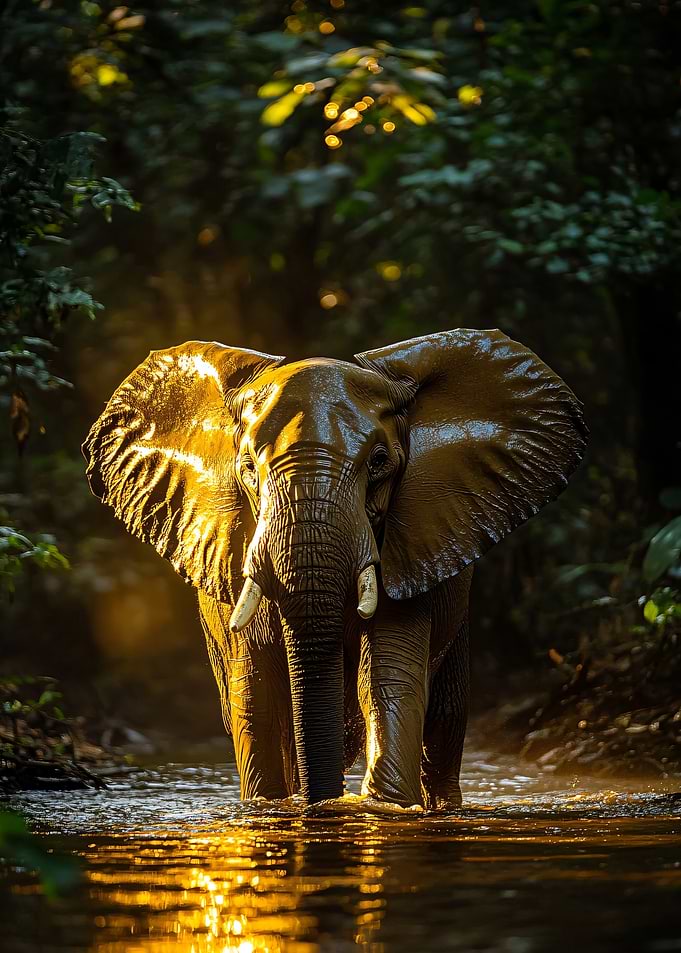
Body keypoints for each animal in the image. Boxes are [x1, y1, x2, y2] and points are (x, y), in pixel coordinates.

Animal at [83, 328, 587, 809]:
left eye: (380, 463)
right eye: (247, 467)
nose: (320, 800)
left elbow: (386, 677)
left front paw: (382, 806)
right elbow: (257, 696)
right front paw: (270, 808)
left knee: (444, 720)